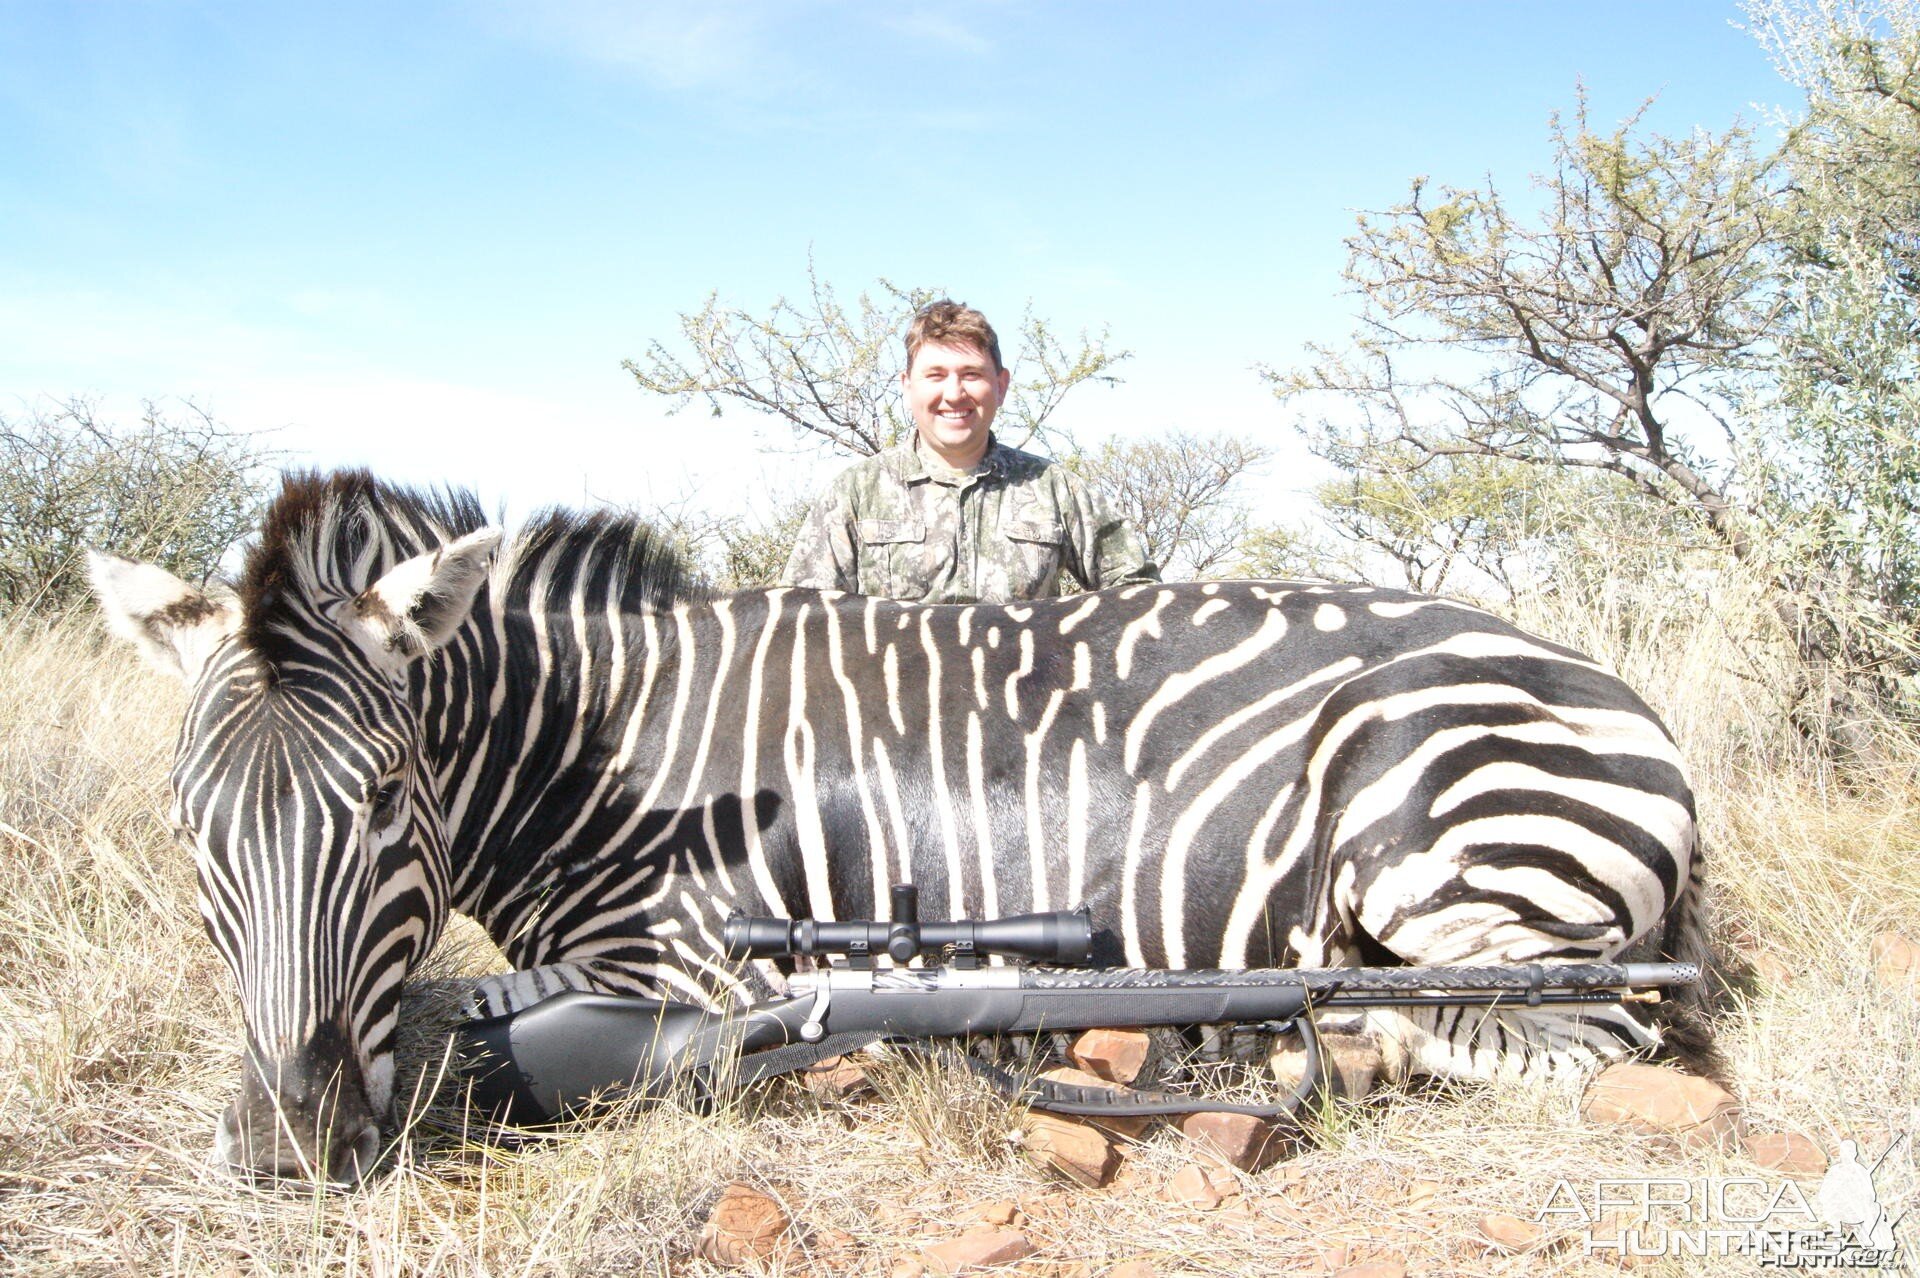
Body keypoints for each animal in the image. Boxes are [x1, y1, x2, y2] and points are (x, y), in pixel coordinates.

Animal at [93, 468, 1712, 1174]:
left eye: (382, 807)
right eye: (189, 827)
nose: (289, 1141)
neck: (601, 755)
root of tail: (1618, 696)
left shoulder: (693, 960)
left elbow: (487, 1024)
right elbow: (454, 1010)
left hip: (1433, 835)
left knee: (1562, 1032)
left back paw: (1283, 1046)